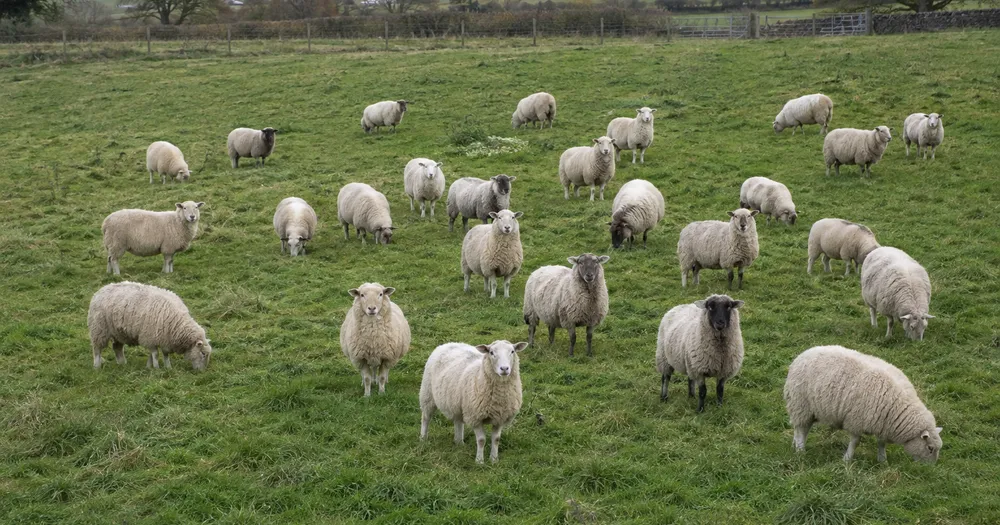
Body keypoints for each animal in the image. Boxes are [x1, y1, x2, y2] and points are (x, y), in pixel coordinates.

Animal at [784, 345, 943, 463]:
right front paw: (847, 459)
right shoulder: (856, 420)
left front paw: (882, 460)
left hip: (809, 410)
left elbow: (881, 443)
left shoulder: (882, 423)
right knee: (800, 429)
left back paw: (795, 445)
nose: (930, 468)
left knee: (802, 429)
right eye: (930, 448)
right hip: (800, 404)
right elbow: (855, 442)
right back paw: (800, 450)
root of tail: (803, 354)